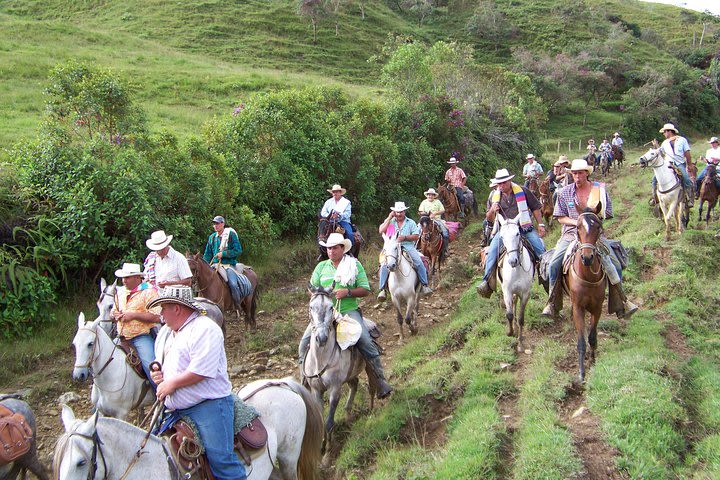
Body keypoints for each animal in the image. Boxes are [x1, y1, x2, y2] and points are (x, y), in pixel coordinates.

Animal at [304, 286, 368, 456]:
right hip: (350, 375)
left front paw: (328, 450)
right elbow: (321, 419)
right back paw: (348, 413)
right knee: (354, 384)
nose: (321, 338)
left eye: (331, 307)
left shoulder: (335, 388)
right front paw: (320, 446)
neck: (321, 360)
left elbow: (329, 422)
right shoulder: (316, 390)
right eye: (311, 307)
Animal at [496, 214, 536, 352]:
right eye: (502, 236)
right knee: (512, 304)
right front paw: (510, 332)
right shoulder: (507, 291)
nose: (513, 261)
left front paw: (520, 342)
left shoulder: (525, 294)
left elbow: (521, 318)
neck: (516, 269)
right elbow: (509, 314)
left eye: (517, 233)